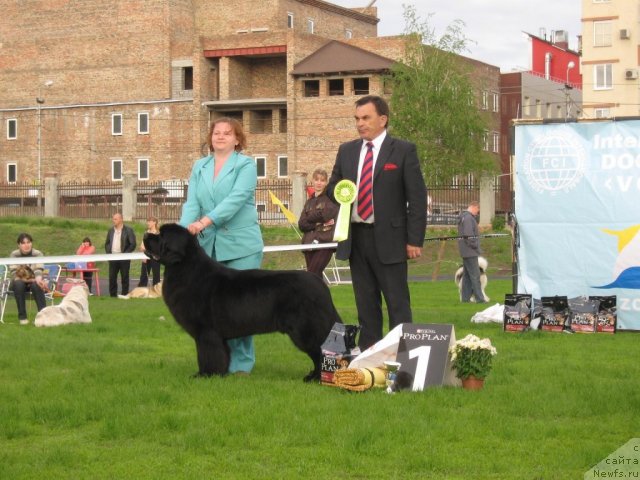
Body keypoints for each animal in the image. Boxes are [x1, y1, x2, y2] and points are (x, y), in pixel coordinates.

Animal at [144, 224, 342, 382]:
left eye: (161, 235)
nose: (146, 235)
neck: (185, 268)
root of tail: (321, 285)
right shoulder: (216, 336)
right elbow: (221, 355)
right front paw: (220, 374)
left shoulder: (206, 332)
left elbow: (207, 354)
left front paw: (205, 375)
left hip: (306, 330)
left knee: (320, 353)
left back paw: (316, 378)